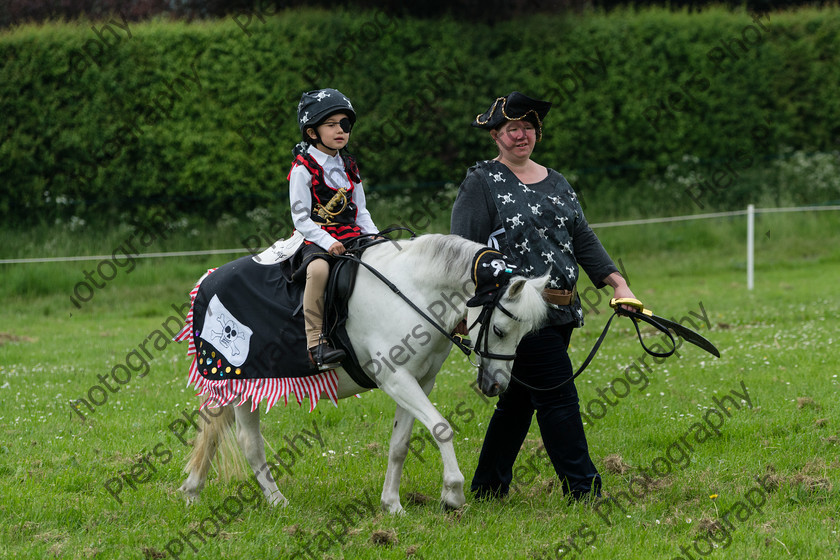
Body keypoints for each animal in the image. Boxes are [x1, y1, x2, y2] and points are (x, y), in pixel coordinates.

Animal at [177, 234, 548, 516]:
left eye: (526, 334)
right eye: (499, 330)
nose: (496, 385)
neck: (412, 293)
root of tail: (207, 279)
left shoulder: (420, 382)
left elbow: (400, 444)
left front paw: (392, 505)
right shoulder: (397, 380)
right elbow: (441, 427)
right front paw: (453, 495)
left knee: (216, 432)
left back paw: (193, 491)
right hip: (242, 384)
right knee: (249, 442)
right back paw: (277, 501)